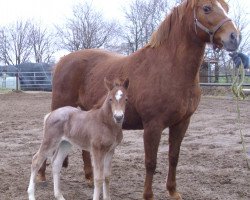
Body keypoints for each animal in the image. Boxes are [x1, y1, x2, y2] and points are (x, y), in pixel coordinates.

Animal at [37, 0, 240, 199]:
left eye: (226, 6)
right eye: (207, 8)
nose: (234, 37)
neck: (170, 69)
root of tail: (62, 61)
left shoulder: (182, 123)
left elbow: (173, 157)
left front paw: (173, 191)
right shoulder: (153, 125)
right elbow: (151, 162)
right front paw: (148, 195)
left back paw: (89, 178)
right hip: (60, 108)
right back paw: (41, 176)